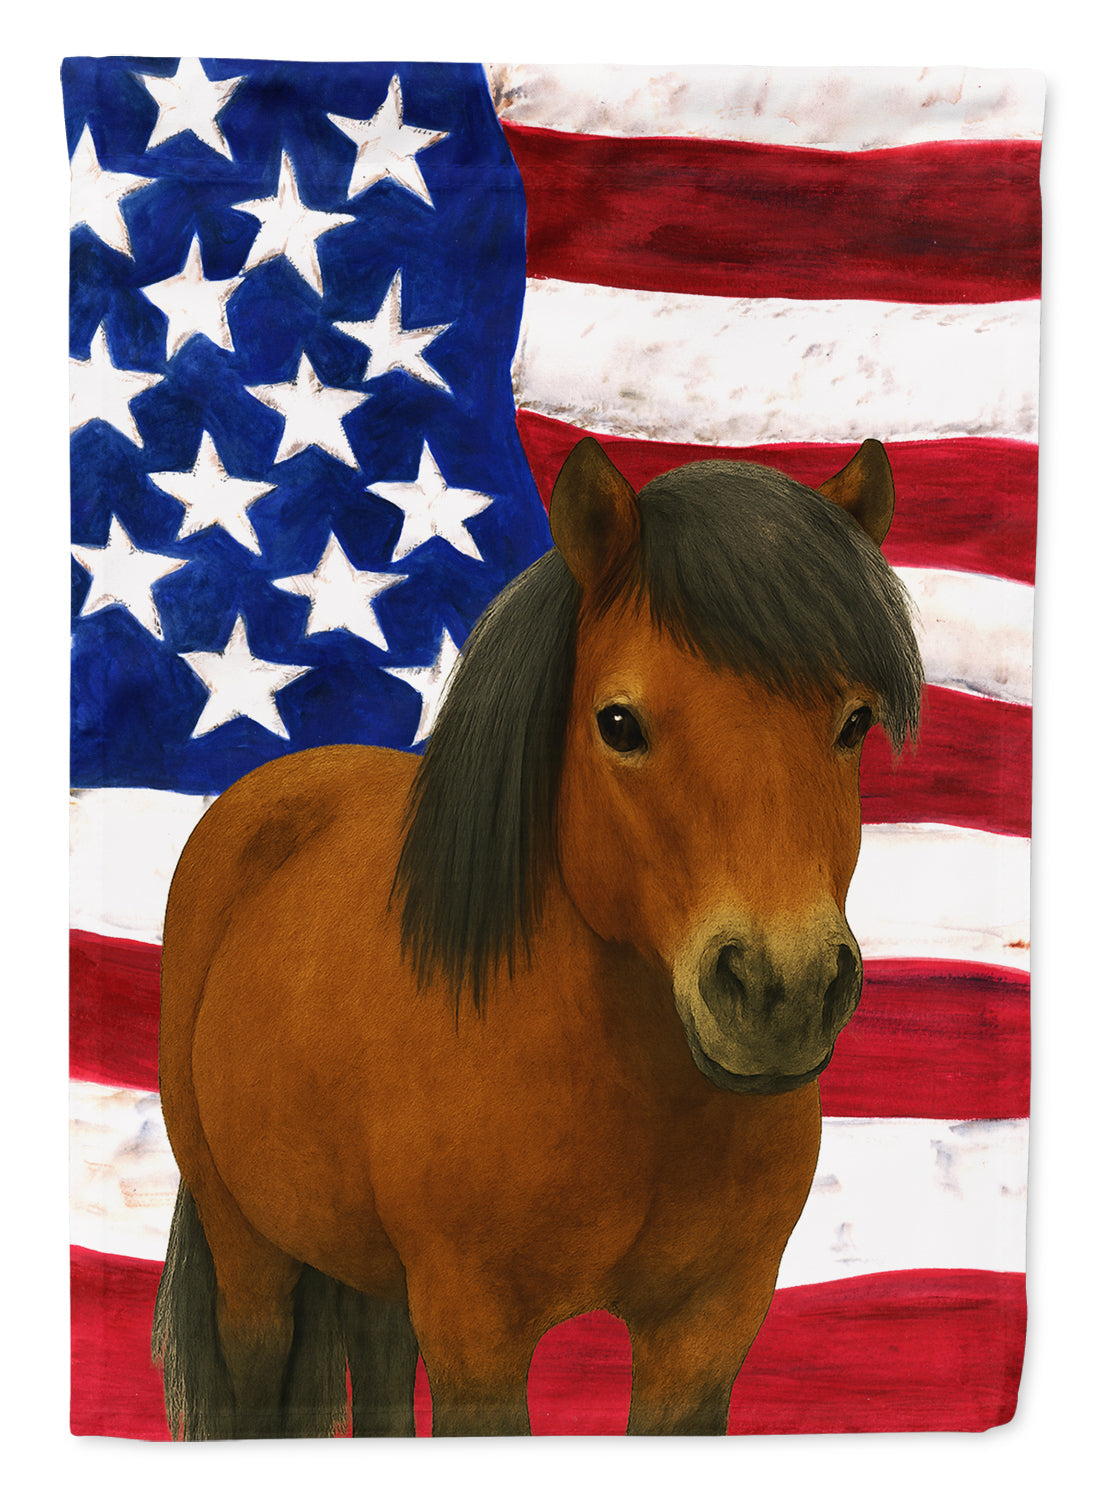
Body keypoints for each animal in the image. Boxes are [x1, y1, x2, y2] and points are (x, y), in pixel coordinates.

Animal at [152, 435, 922, 1438]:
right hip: (249, 1252)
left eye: (855, 721)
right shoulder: (477, 1332)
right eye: (619, 723)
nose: (780, 990)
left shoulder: (707, 1330)